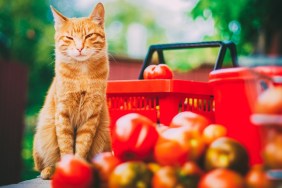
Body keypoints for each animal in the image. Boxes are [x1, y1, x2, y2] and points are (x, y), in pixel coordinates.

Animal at [32, 2, 112, 179]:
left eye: (89, 36)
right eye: (69, 38)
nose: (79, 48)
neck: (82, 74)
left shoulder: (91, 115)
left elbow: (82, 145)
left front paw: (80, 166)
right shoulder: (63, 113)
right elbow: (66, 145)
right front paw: (68, 168)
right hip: (42, 136)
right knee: (42, 166)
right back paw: (49, 171)